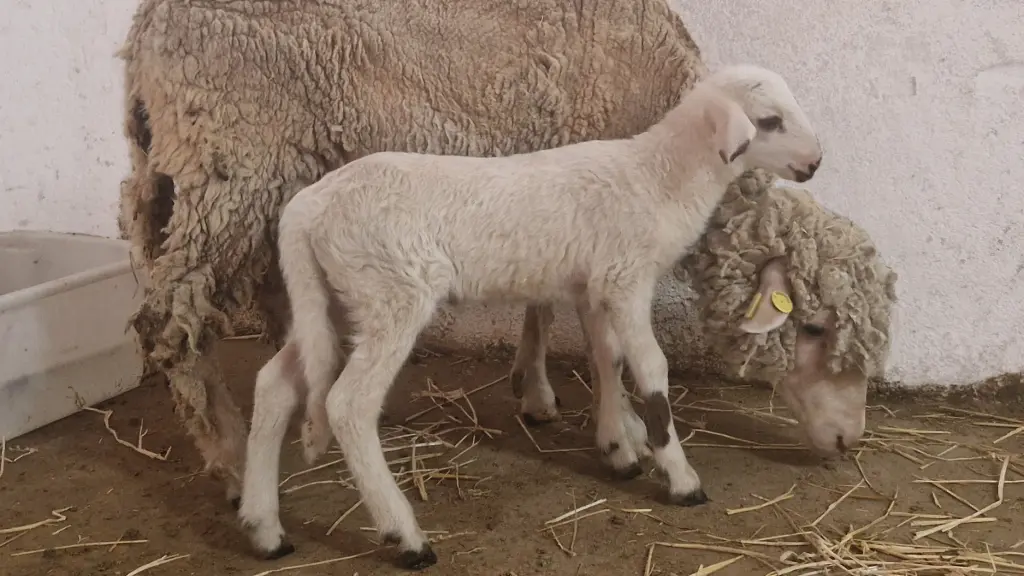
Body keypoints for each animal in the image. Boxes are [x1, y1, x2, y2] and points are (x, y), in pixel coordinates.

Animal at [114, 0, 704, 502]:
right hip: (232, 168)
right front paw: (623, 430)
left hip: (202, 179)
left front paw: (538, 392)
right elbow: (600, 337)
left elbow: (544, 305)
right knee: (170, 322)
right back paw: (231, 458)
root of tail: (145, 30)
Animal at [237, 62, 823, 565]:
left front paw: (618, 445)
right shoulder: (626, 278)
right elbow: (651, 371)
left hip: (332, 297)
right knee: (348, 404)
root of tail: (306, 208)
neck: (659, 177)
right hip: (391, 291)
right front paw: (679, 476)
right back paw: (405, 536)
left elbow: (606, 360)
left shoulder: (594, 285)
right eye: (769, 121)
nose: (815, 163)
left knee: (274, 385)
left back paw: (264, 528)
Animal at [512, 170, 897, 467]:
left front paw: (534, 389)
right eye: (814, 328)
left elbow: (545, 305)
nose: (849, 438)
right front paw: (624, 428)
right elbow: (604, 347)